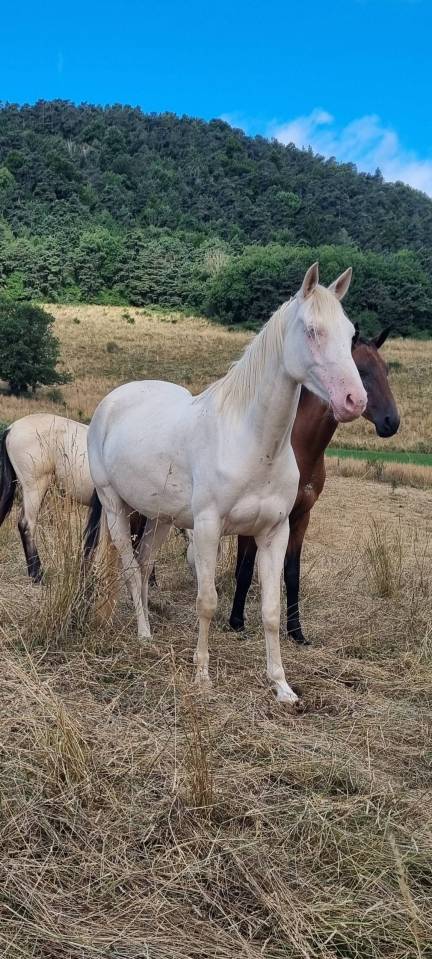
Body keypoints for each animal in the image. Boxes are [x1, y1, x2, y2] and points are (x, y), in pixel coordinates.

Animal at [85, 263, 367, 704]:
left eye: (351, 333)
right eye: (311, 330)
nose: (355, 400)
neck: (252, 442)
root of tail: (110, 403)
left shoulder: (274, 532)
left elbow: (270, 610)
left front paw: (281, 685)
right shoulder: (207, 528)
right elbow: (207, 601)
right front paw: (202, 675)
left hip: (160, 517)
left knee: (145, 562)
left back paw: (149, 627)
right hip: (115, 506)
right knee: (131, 568)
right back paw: (143, 633)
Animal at [227, 328, 400, 644]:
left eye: (385, 370)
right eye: (361, 370)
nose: (391, 422)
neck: (298, 449)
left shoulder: (301, 517)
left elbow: (292, 573)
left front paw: (296, 632)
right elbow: (245, 568)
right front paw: (236, 621)